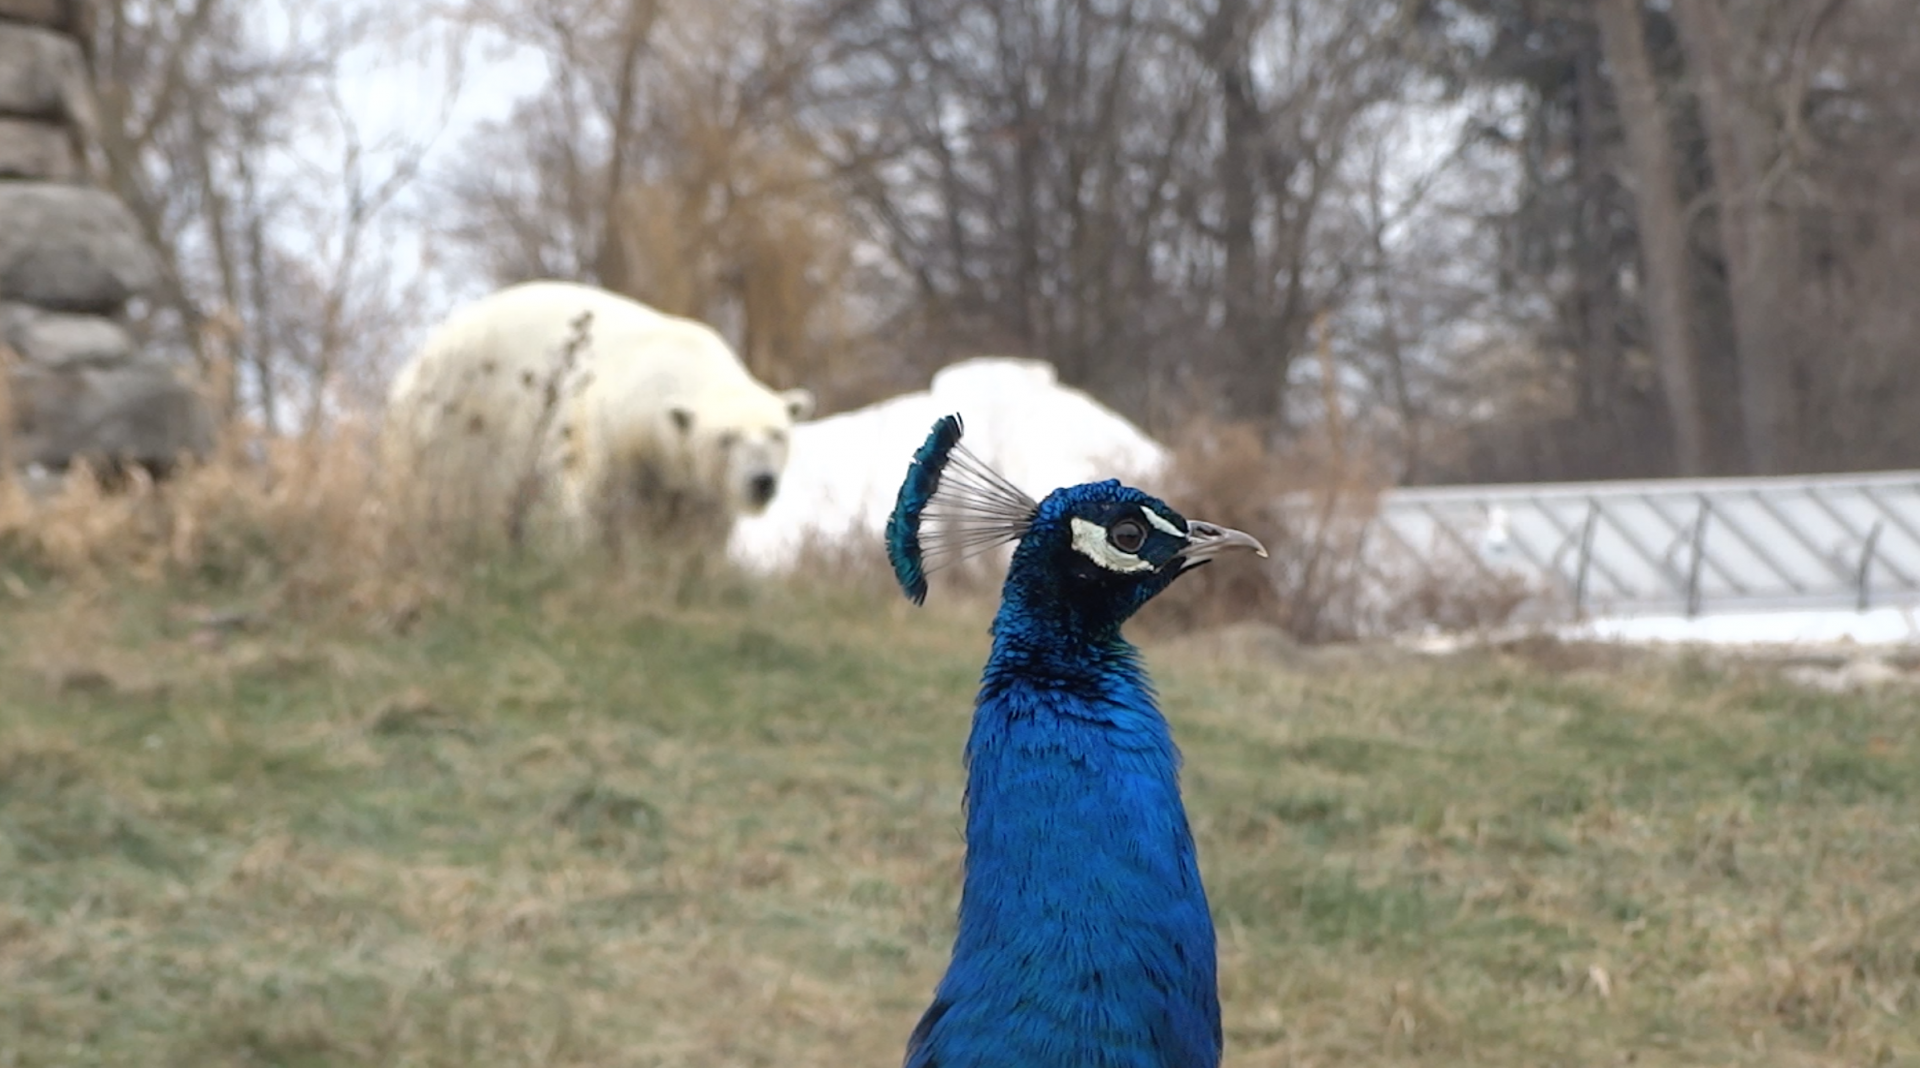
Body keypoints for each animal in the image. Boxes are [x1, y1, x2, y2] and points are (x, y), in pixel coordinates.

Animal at [381, 280, 814, 557]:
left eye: (777, 434)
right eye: (727, 438)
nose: (761, 481)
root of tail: (420, 356)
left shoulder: (686, 476)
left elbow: (699, 520)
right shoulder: (610, 426)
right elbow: (587, 490)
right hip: (455, 415)